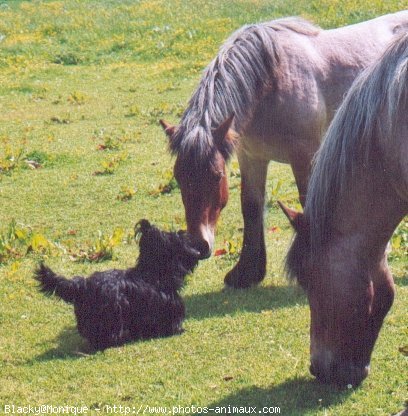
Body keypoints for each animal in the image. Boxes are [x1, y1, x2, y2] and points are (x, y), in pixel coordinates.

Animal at [159, 11, 408, 288]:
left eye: (217, 176)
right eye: (180, 178)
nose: (197, 246)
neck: (270, 82)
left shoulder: (304, 155)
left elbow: (305, 200)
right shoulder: (252, 157)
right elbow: (251, 206)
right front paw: (246, 272)